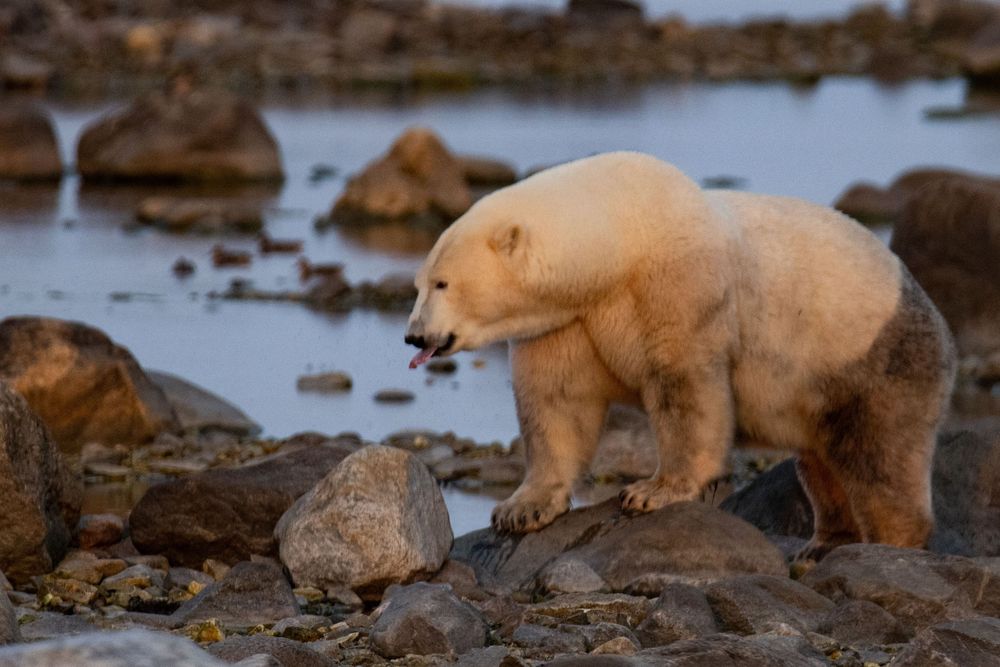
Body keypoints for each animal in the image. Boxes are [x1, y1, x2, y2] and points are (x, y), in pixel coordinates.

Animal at [405, 151, 956, 559]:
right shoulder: (566, 322)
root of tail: (937, 321)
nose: (413, 337)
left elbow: (685, 389)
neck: (617, 242)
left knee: (877, 456)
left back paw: (888, 544)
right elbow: (556, 401)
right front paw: (522, 508)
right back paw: (823, 544)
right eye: (419, 284)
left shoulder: (677, 287)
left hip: (870, 358)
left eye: (442, 283)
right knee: (822, 463)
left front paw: (652, 492)